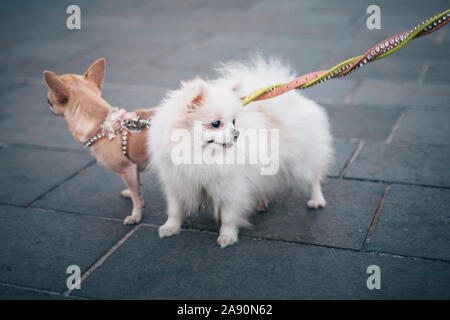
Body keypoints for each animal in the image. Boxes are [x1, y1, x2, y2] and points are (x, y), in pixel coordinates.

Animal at [43, 58, 156, 224]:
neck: (102, 126)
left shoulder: (127, 169)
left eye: (49, 100)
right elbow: (137, 188)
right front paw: (134, 196)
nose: (47, 103)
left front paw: (136, 215)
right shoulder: (133, 168)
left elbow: (136, 196)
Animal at [149, 57, 332, 248]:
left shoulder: (231, 188)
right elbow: (174, 209)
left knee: (314, 179)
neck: (200, 153)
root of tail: (293, 99)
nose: (236, 133)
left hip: (301, 161)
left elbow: (228, 217)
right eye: (216, 124)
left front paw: (227, 237)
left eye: (234, 122)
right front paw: (170, 228)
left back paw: (317, 200)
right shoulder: (177, 182)